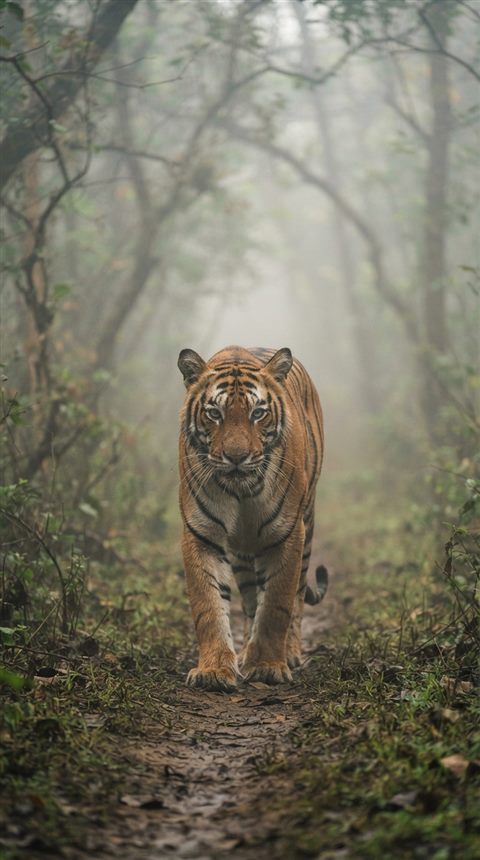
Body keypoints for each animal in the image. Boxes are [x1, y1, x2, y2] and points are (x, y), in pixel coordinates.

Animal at [178, 345, 326, 692]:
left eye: (258, 413)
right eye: (214, 413)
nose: (236, 457)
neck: (240, 491)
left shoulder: (288, 533)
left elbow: (276, 605)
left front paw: (268, 667)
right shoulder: (201, 533)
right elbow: (208, 605)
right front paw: (214, 670)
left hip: (307, 525)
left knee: (298, 595)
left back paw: (290, 653)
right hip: (242, 553)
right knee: (248, 601)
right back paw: (245, 651)